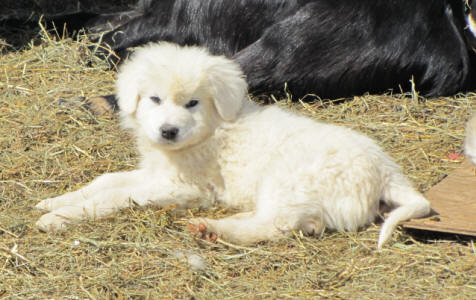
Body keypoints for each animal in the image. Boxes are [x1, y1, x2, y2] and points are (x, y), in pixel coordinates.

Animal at [36, 41, 432, 248]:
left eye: (192, 103)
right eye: (154, 99)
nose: (168, 131)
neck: (212, 130)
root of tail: (387, 172)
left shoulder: (189, 188)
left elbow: (116, 195)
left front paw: (58, 217)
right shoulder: (156, 172)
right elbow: (107, 180)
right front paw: (54, 201)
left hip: (288, 178)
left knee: (275, 226)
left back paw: (213, 228)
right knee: (294, 222)